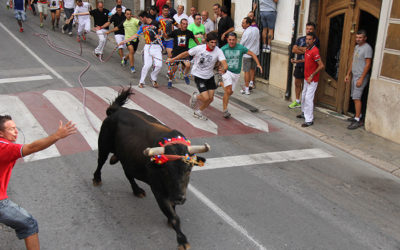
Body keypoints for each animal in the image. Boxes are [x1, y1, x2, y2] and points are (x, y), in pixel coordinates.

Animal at [93, 87, 209, 249]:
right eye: (167, 170)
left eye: (189, 169)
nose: (180, 198)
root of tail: (117, 110)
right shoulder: (158, 191)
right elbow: (174, 217)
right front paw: (182, 240)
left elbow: (173, 211)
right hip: (104, 145)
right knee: (100, 162)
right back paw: (97, 179)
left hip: (128, 158)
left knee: (128, 173)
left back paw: (137, 190)